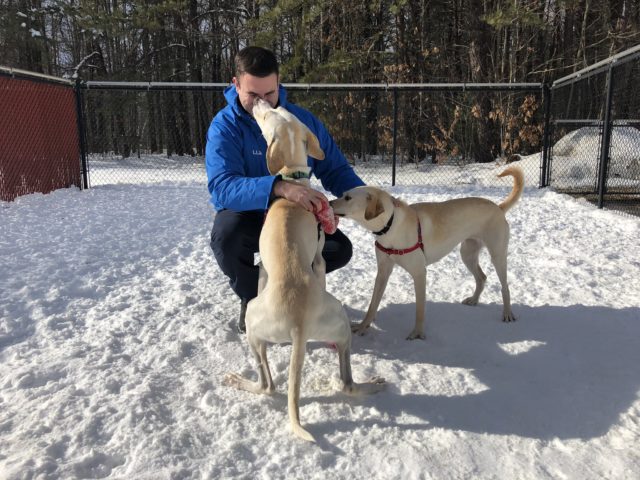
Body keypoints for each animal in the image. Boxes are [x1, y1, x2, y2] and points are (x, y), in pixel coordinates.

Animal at [224, 99, 385, 442]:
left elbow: (260, 273)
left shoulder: (264, 270)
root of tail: (299, 325)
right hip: (339, 324)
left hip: (256, 328)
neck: (293, 182)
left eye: (268, 114)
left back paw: (237, 380)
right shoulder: (319, 261)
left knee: (268, 386)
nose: (260, 101)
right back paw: (373, 384)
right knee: (346, 382)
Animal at [330, 166, 524, 340]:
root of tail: (498, 207)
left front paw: (417, 333)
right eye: (343, 194)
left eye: (347, 197)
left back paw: (507, 313)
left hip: (497, 255)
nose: (329, 203)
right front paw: (363, 326)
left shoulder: (419, 273)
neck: (390, 225)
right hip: (467, 254)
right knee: (482, 277)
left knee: (505, 286)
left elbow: (420, 309)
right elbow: (372, 304)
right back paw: (474, 300)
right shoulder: (383, 271)